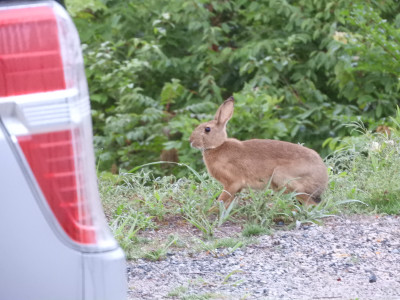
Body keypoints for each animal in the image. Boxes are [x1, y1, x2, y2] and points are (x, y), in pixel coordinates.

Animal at [190, 97, 328, 207]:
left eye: (207, 129)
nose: (190, 141)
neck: (217, 146)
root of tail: (322, 180)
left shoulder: (232, 182)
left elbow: (223, 198)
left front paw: (212, 209)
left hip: (283, 178)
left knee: (311, 204)